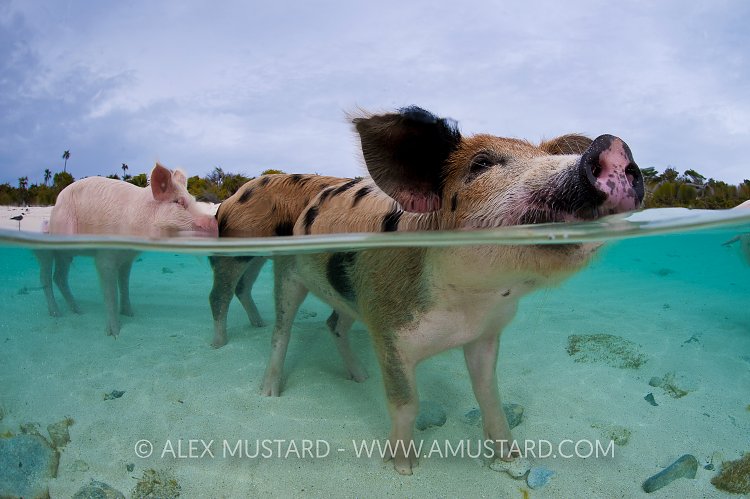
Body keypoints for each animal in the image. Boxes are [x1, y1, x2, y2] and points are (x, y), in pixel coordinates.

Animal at [37, 163, 218, 337]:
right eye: (179, 202)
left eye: (193, 200)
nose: (214, 222)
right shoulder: (105, 256)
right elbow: (111, 292)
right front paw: (114, 333)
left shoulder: (127, 258)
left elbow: (124, 284)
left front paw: (130, 314)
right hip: (51, 247)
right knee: (46, 277)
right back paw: (56, 314)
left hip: (65, 254)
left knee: (59, 277)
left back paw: (79, 311)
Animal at [212, 106, 644, 475]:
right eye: (481, 164)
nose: (612, 144)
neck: (466, 305)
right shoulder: (388, 329)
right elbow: (406, 403)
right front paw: (403, 468)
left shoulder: (486, 334)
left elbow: (489, 393)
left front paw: (510, 457)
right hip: (283, 268)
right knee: (269, 324)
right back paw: (259, 382)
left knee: (334, 324)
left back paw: (360, 377)